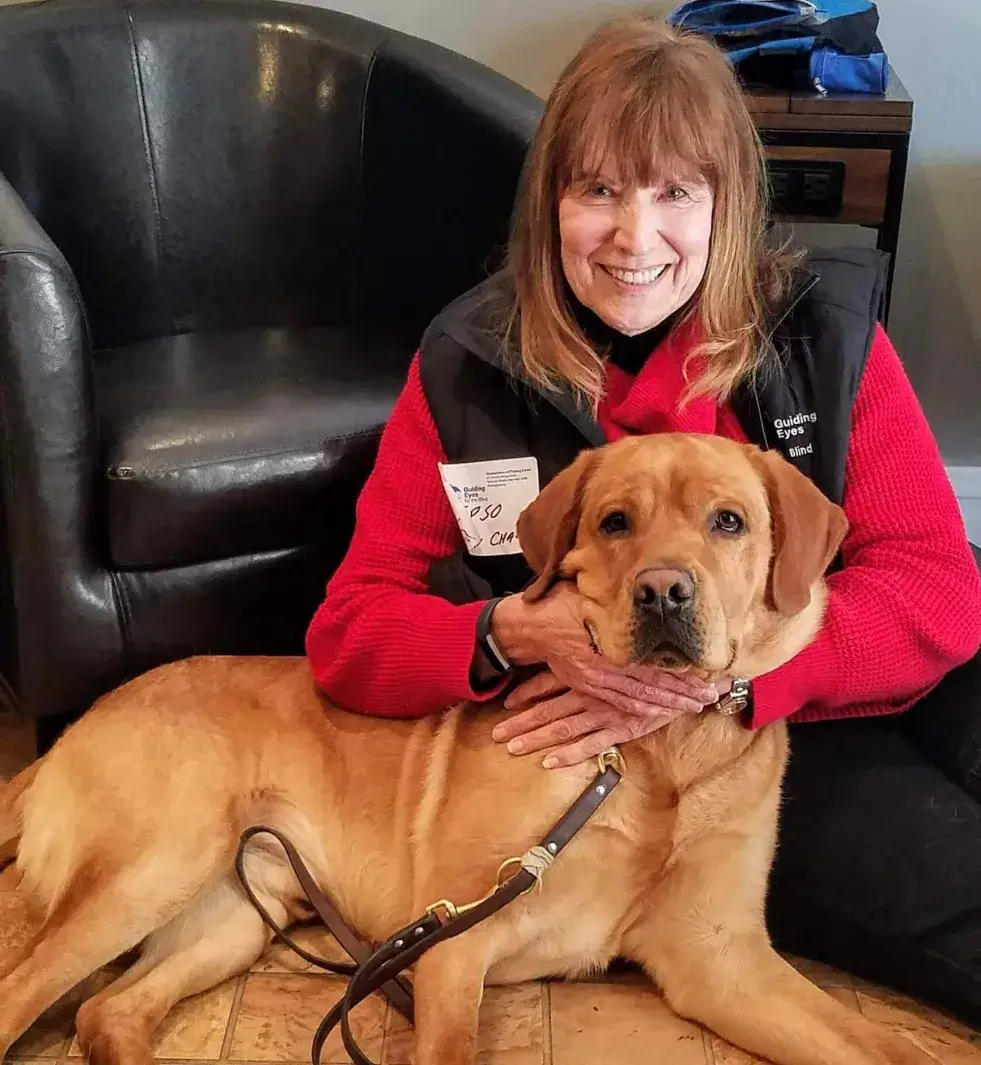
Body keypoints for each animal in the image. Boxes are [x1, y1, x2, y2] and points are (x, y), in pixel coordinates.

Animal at [0, 432, 933, 1065]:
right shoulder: (453, 937)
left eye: (727, 521)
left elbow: (886, 1046)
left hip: (230, 914)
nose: (664, 591)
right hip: (156, 860)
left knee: (106, 1012)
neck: (656, 751)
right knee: (23, 990)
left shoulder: (719, 956)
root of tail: (81, 718)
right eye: (615, 522)